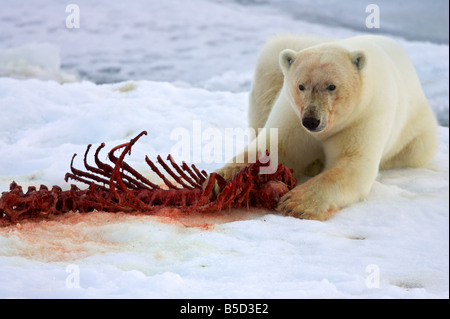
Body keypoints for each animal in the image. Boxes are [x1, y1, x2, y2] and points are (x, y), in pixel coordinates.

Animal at [215, 33, 440, 221]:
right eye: (301, 86)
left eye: (331, 86)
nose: (311, 120)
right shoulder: (292, 114)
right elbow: (273, 147)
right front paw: (223, 180)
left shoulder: (364, 115)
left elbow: (353, 163)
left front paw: (297, 203)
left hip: (417, 135)